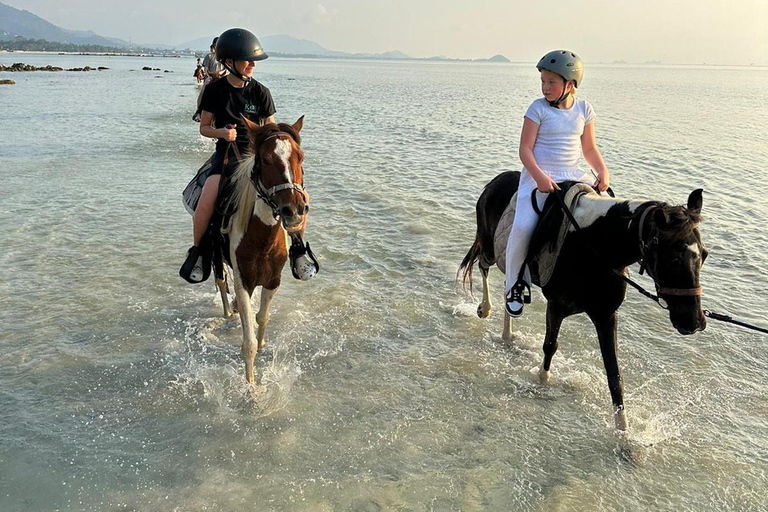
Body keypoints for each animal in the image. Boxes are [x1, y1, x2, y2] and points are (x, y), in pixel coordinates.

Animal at [213, 116, 316, 386]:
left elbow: (262, 317)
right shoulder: (244, 283)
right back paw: (228, 310)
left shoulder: (272, 281)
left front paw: (262, 344)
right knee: (221, 280)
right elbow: (247, 343)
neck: (262, 240)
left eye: (301, 156)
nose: (294, 209)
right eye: (266, 159)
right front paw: (251, 387)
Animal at [456, 171, 708, 428]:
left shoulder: (606, 315)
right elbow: (550, 346)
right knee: (482, 265)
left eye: (705, 255)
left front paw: (624, 432)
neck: (594, 246)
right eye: (674, 259)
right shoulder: (556, 306)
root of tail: (496, 180)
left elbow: (614, 374)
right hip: (490, 247)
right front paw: (543, 381)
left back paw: (507, 334)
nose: (694, 322)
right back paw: (485, 309)